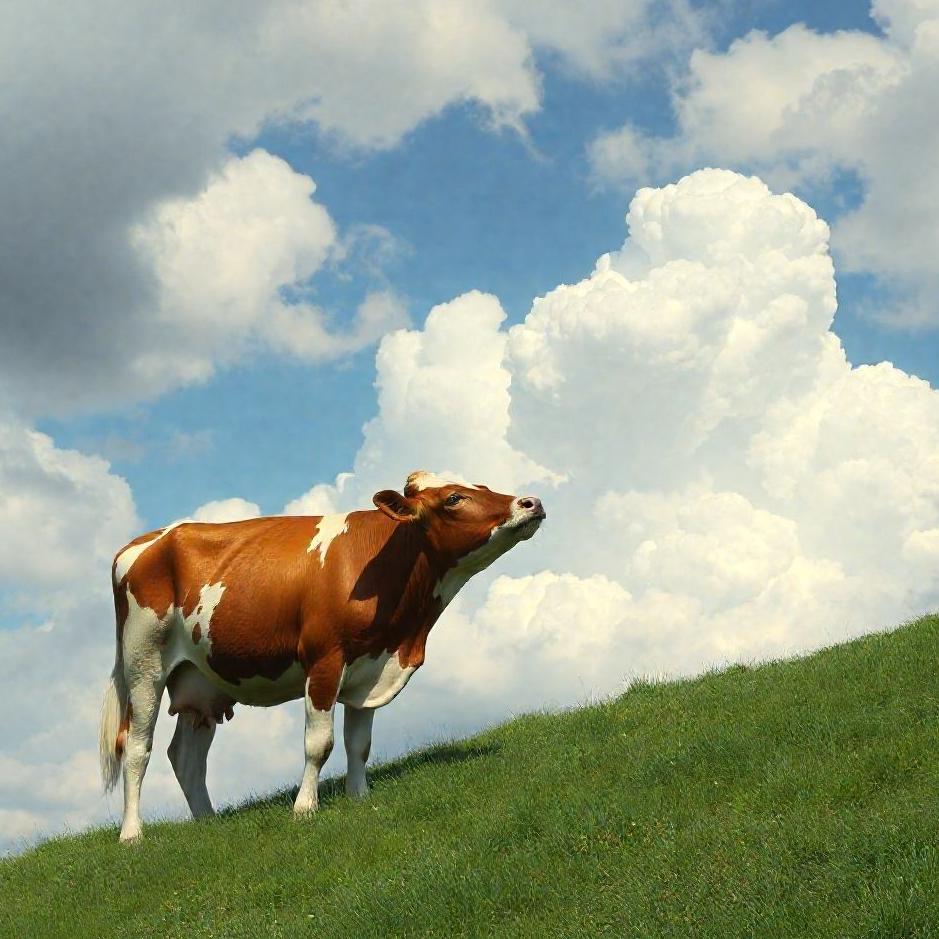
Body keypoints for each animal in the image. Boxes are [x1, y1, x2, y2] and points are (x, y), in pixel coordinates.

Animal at [98, 471, 545, 842]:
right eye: (454, 498)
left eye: (482, 486)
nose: (531, 502)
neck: (404, 634)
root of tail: (141, 542)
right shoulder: (325, 658)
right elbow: (320, 743)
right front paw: (304, 808)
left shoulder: (370, 666)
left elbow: (359, 743)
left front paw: (359, 796)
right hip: (144, 665)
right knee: (136, 748)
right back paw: (132, 834)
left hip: (200, 682)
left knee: (186, 756)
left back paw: (209, 824)